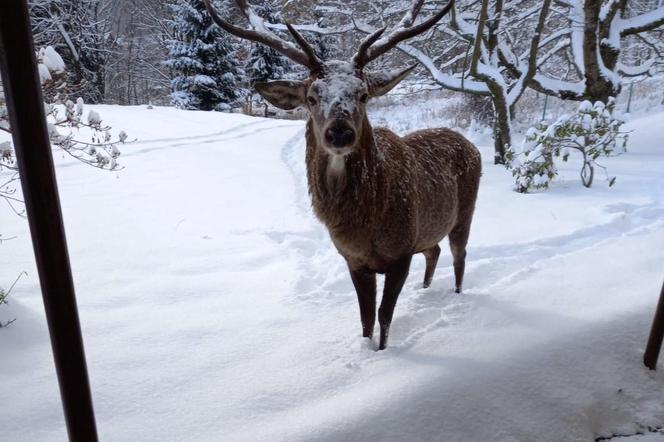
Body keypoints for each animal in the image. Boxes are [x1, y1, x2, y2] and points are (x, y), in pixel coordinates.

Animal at [205, 0, 480, 352]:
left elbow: (384, 317)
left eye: (363, 94)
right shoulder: (353, 260)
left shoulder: (401, 253)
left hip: (465, 211)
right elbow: (365, 319)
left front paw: (382, 353)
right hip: (428, 230)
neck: (364, 224)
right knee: (435, 250)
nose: (339, 132)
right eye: (311, 97)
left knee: (459, 255)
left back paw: (457, 296)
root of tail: (469, 143)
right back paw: (425, 289)